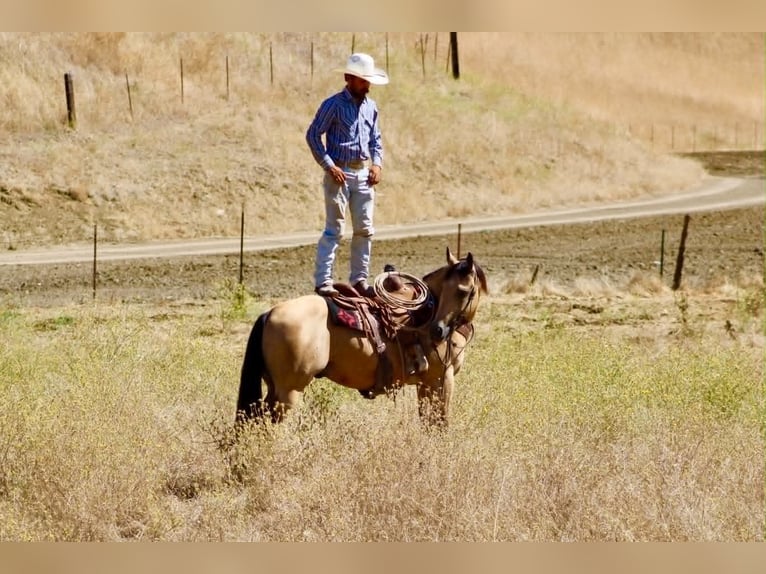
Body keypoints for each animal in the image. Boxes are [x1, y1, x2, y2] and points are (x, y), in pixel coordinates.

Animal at [236, 247, 488, 427]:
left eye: (464, 291)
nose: (438, 330)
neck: (426, 314)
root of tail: (270, 313)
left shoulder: (425, 384)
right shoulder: (441, 379)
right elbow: (439, 424)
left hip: (273, 388)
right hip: (288, 393)